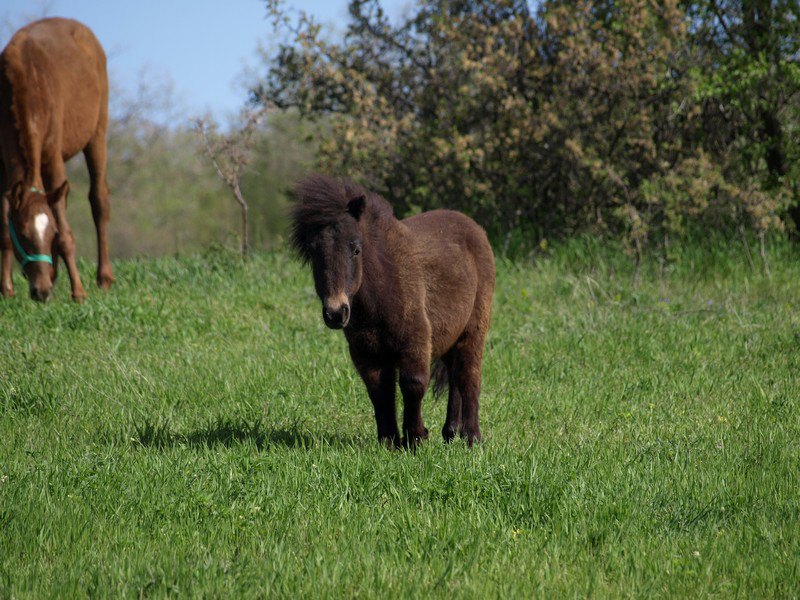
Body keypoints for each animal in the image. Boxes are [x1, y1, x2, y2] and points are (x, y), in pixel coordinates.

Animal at [0, 17, 114, 302]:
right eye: (24, 234)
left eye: (50, 234)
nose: (41, 292)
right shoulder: (2, 163)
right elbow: (4, 229)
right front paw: (6, 289)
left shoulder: (53, 158)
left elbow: (65, 231)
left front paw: (79, 292)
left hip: (97, 133)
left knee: (99, 199)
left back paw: (104, 277)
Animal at [294, 173, 494, 446]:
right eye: (314, 252)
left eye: (355, 249)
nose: (336, 312)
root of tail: (474, 227)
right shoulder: (366, 352)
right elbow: (379, 391)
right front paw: (389, 441)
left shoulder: (415, 341)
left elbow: (413, 384)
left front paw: (416, 437)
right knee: (455, 375)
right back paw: (451, 432)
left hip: (474, 329)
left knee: (469, 377)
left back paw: (472, 437)